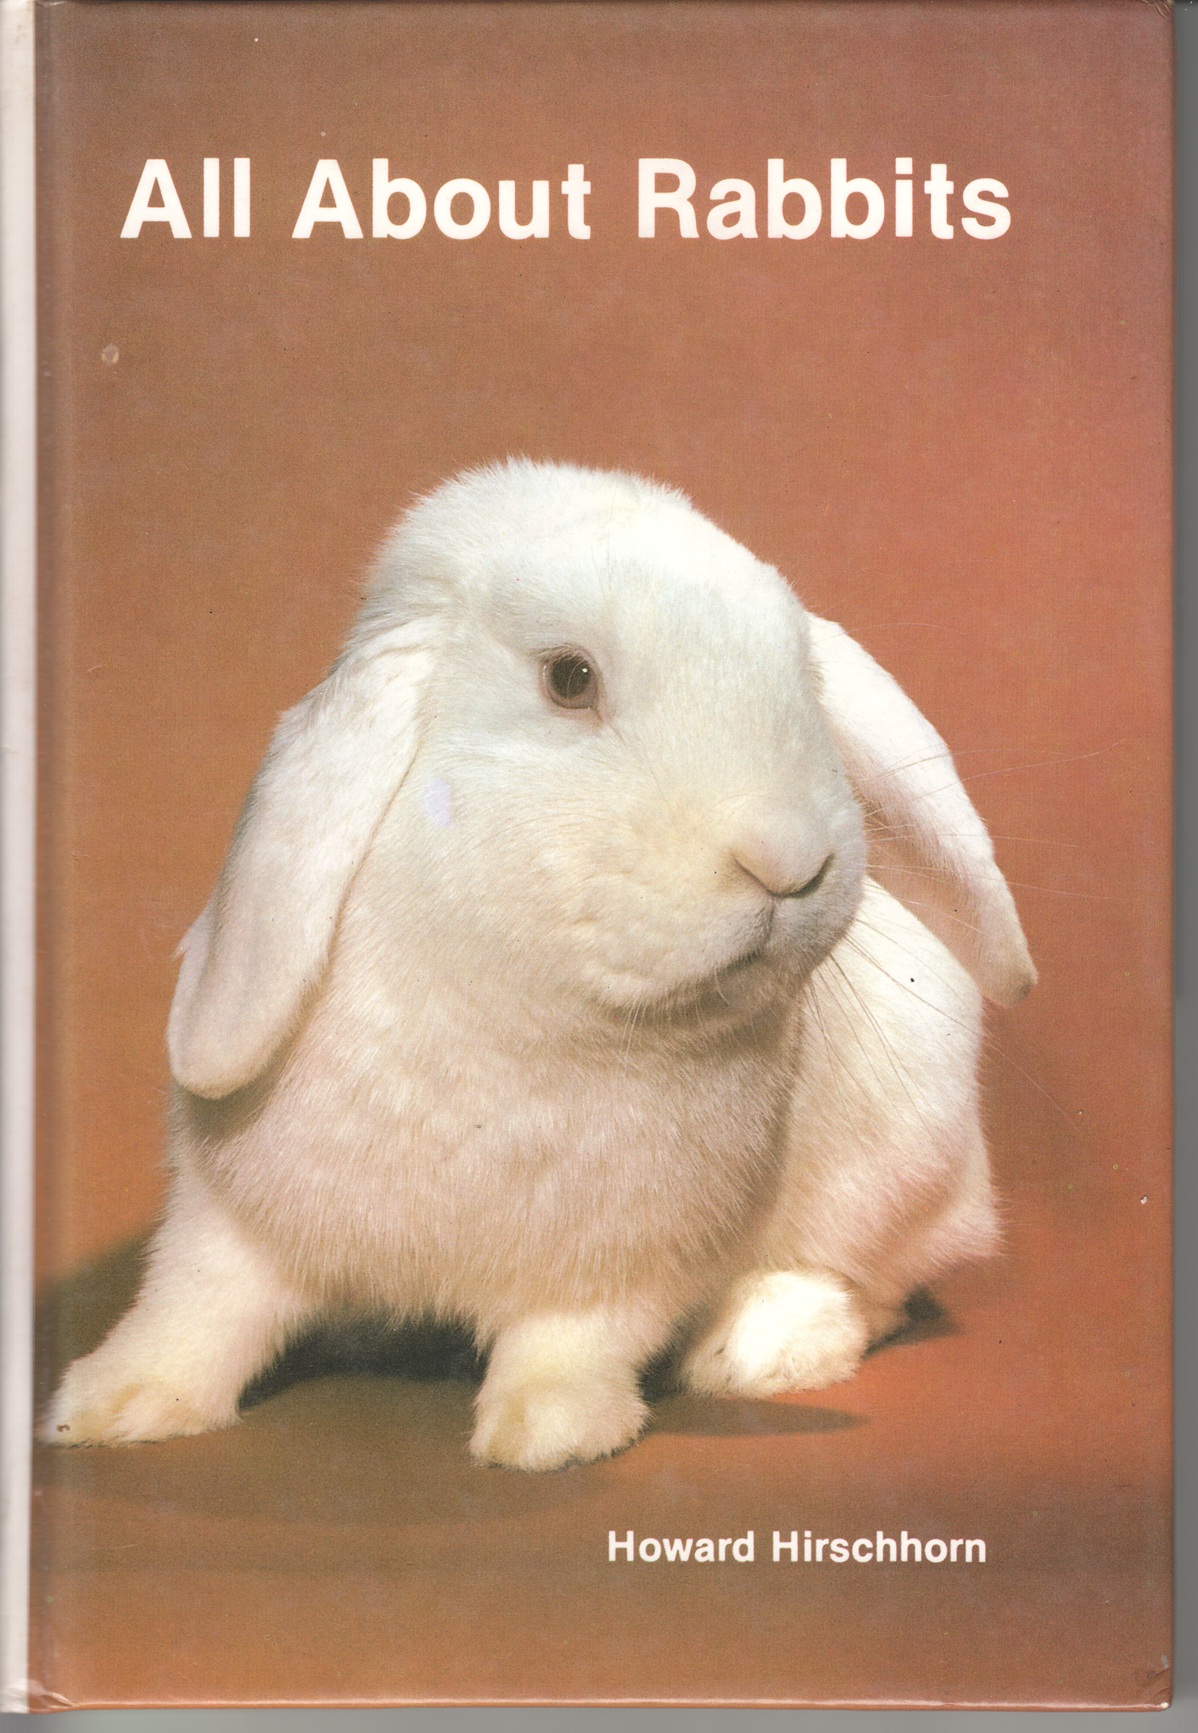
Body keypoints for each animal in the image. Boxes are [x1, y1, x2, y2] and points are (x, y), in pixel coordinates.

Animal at [42, 459, 1034, 1471]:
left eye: (805, 677)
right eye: (570, 677)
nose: (792, 862)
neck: (520, 1018)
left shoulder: (621, 1259)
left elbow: (572, 1338)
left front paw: (548, 1432)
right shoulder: (230, 1217)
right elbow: (196, 1307)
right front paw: (108, 1404)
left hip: (902, 1173)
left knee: (875, 1288)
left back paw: (759, 1344)